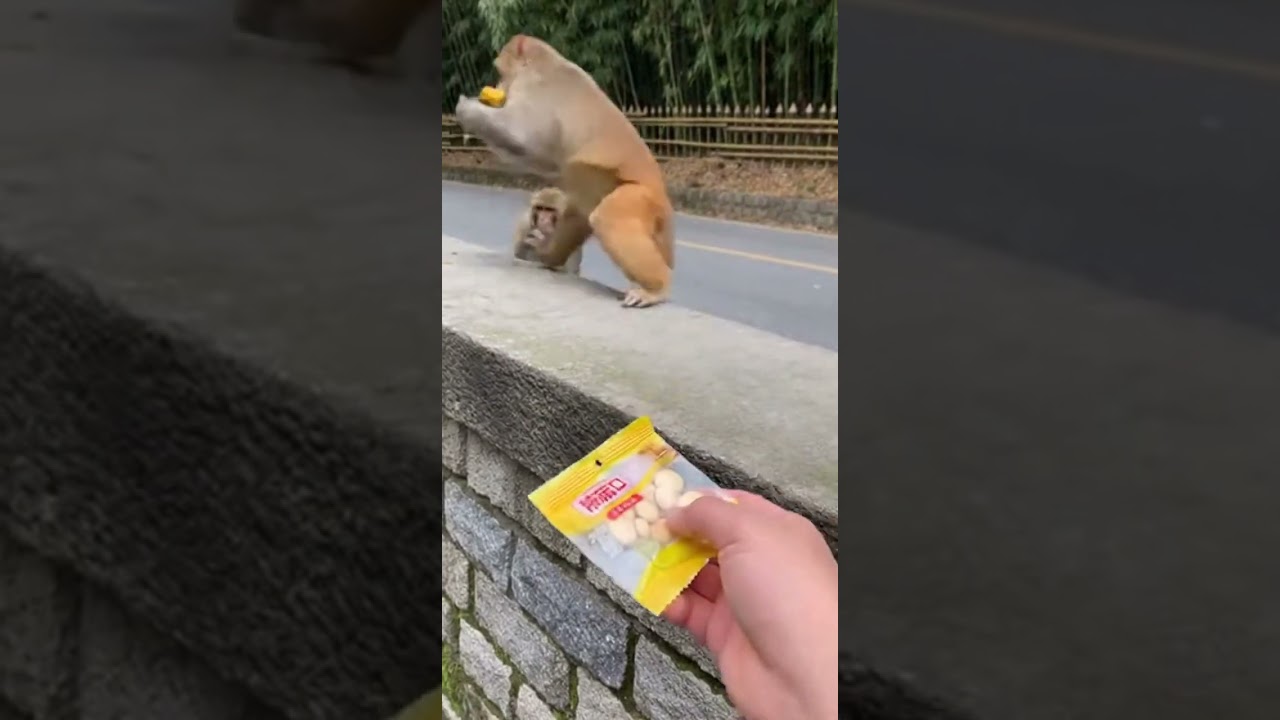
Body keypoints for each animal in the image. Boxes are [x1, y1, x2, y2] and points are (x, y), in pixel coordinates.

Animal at [453, 35, 675, 308]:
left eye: (500, 71)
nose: (498, 85)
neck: (542, 63)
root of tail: (663, 199)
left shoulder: (536, 90)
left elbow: (524, 138)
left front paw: (466, 107)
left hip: (639, 198)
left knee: (608, 219)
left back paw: (655, 288)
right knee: (575, 219)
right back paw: (547, 256)